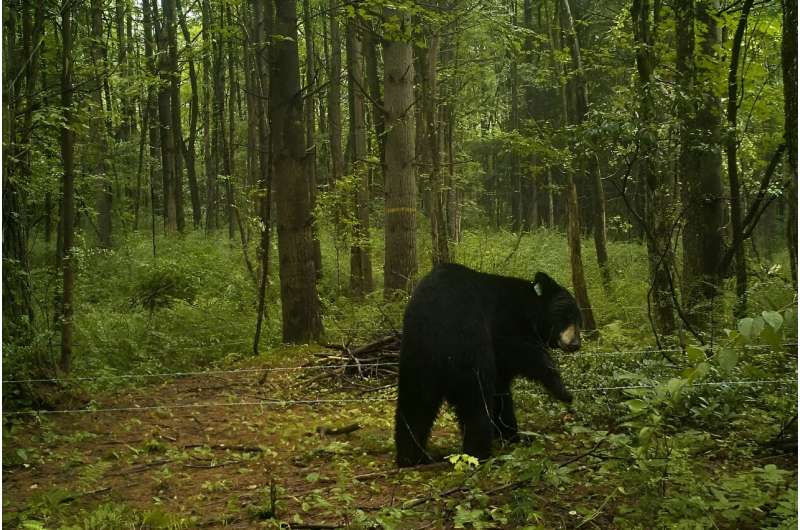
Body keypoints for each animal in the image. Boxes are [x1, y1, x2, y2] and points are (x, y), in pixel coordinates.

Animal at [394, 263, 580, 467]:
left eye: (579, 320)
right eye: (566, 316)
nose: (576, 343)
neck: (530, 309)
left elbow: (502, 392)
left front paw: (512, 434)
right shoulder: (505, 325)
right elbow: (526, 353)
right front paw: (563, 391)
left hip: (416, 359)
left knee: (415, 404)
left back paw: (411, 457)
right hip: (468, 348)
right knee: (476, 402)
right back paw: (479, 452)